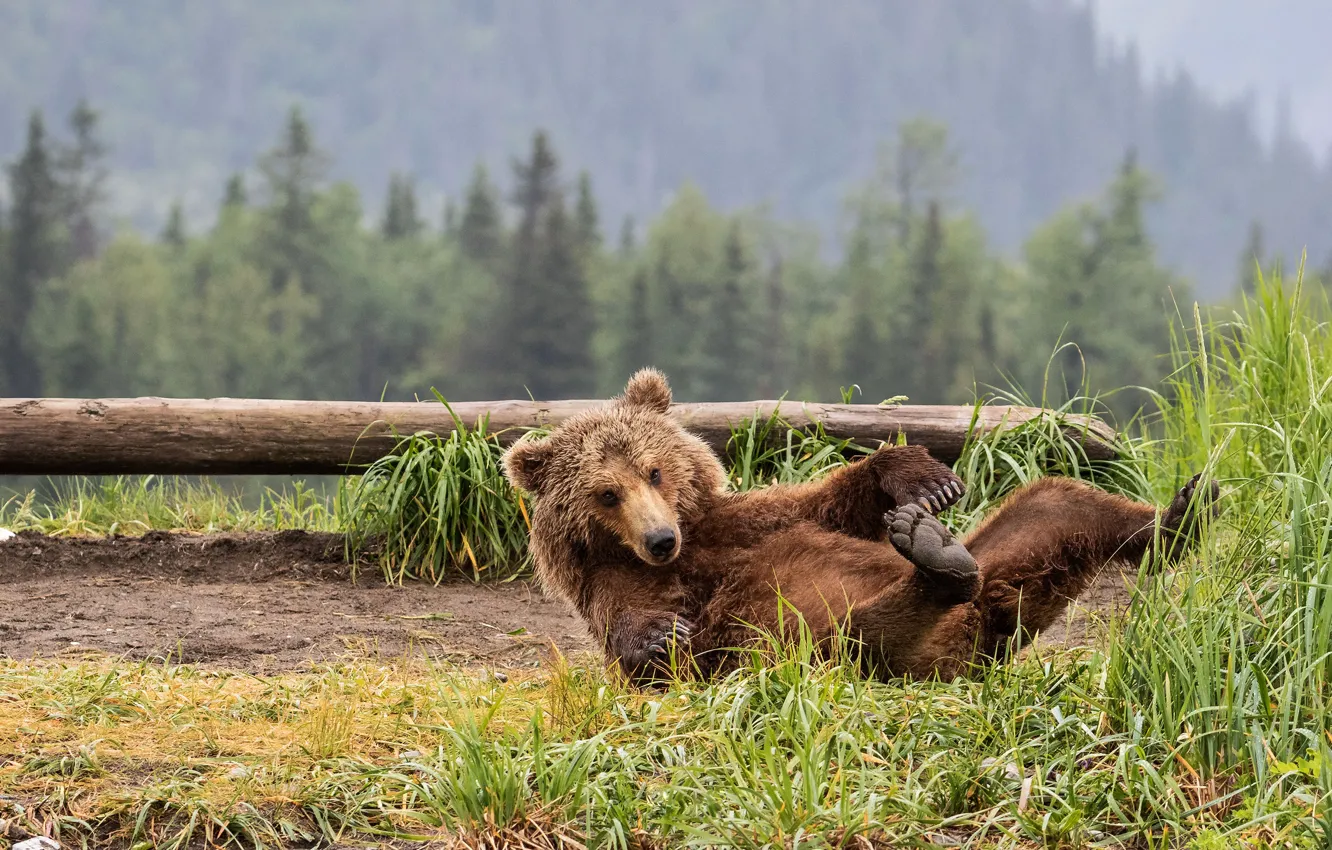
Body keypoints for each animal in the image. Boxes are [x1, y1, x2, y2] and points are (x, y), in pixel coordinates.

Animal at [500, 370, 1220, 682]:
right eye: (606, 493)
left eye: (654, 470)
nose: (659, 539)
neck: (692, 547)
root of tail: (982, 633)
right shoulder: (622, 583)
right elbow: (656, 642)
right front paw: (656, 637)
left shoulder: (739, 523)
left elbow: (825, 507)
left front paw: (922, 481)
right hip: (821, 648)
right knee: (860, 635)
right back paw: (936, 568)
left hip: (1014, 560)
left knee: (1059, 504)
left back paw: (1182, 512)